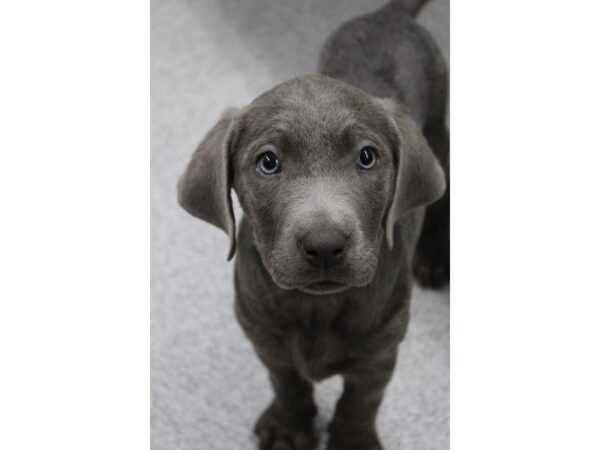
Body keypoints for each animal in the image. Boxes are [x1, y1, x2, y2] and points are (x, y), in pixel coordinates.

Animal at [178, 1, 450, 448]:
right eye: (268, 162)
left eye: (367, 157)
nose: (324, 244)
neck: (316, 306)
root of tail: (389, 16)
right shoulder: (264, 337)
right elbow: (287, 384)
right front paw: (289, 426)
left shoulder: (381, 350)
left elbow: (361, 403)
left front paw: (352, 441)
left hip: (438, 122)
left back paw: (433, 258)